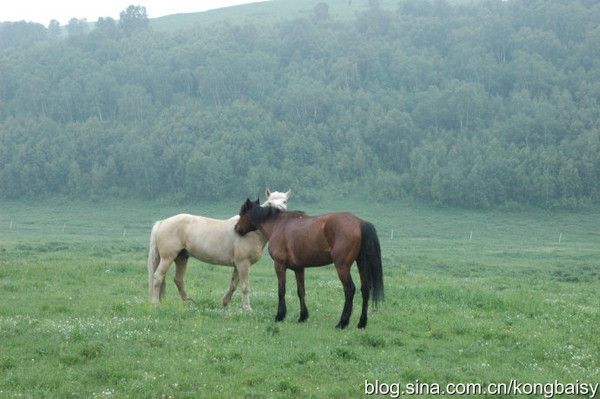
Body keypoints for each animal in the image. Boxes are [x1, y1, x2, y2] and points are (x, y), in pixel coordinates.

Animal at [149, 191, 292, 310]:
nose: (280, 212)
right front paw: (247, 308)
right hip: (168, 257)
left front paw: (225, 303)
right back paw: (156, 303)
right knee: (158, 277)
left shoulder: (238, 265)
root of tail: (162, 222)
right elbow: (245, 287)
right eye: (270, 202)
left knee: (178, 280)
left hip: (181, 257)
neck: (252, 232)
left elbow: (233, 285)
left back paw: (188, 303)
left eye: (285, 201)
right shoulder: (243, 264)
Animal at [234, 199, 384, 328]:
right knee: (365, 290)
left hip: (342, 266)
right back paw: (362, 323)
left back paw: (342, 323)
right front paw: (303, 316)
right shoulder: (299, 268)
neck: (277, 225)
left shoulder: (279, 265)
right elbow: (301, 291)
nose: (236, 229)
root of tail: (360, 223)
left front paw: (280, 316)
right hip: (361, 264)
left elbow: (281, 290)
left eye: (242, 213)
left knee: (350, 290)